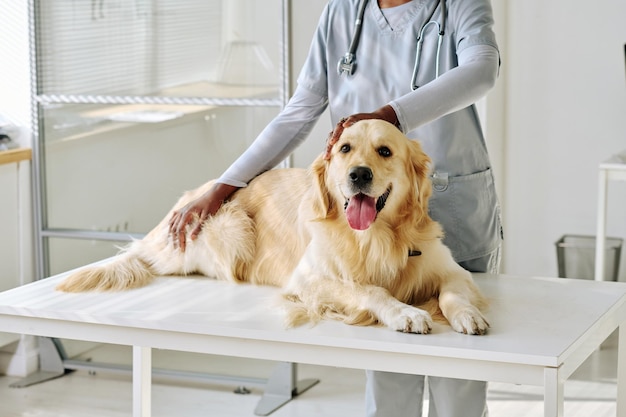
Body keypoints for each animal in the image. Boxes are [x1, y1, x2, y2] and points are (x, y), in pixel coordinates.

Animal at [57, 118, 488, 334]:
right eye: (345, 149)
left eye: (385, 151)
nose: (358, 175)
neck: (376, 236)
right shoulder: (308, 279)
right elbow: (370, 290)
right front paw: (406, 313)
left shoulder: (451, 270)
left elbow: (453, 293)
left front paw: (467, 315)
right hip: (228, 230)